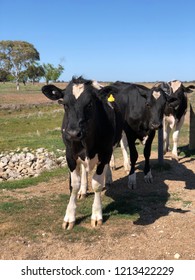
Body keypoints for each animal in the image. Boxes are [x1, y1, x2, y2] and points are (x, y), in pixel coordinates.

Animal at [42, 76, 122, 230]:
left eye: (90, 104)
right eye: (65, 104)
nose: (73, 133)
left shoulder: (105, 152)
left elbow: (97, 184)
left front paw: (96, 215)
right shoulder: (70, 155)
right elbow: (74, 185)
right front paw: (69, 217)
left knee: (107, 165)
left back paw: (108, 179)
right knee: (84, 170)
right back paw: (83, 191)